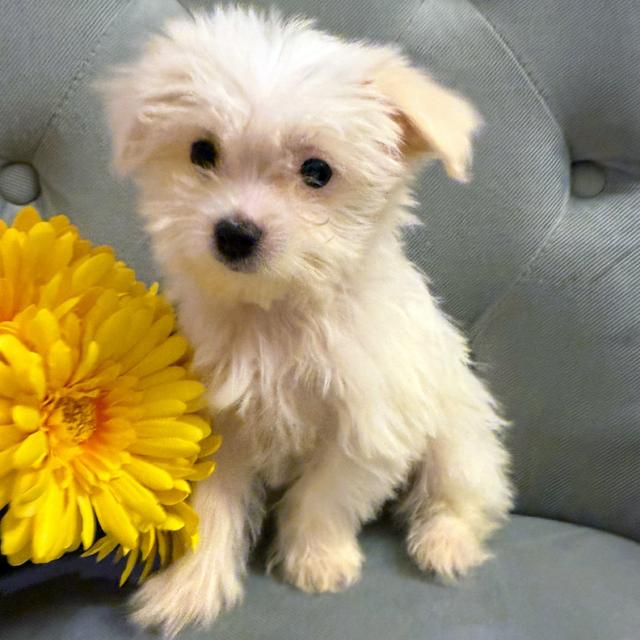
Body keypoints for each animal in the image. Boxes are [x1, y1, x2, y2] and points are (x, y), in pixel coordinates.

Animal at [104, 6, 516, 640]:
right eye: (202, 151)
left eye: (317, 171)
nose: (234, 233)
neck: (277, 312)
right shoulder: (221, 422)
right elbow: (213, 510)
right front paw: (190, 588)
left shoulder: (370, 425)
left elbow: (325, 497)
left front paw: (317, 561)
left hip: (459, 437)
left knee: (462, 494)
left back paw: (445, 542)